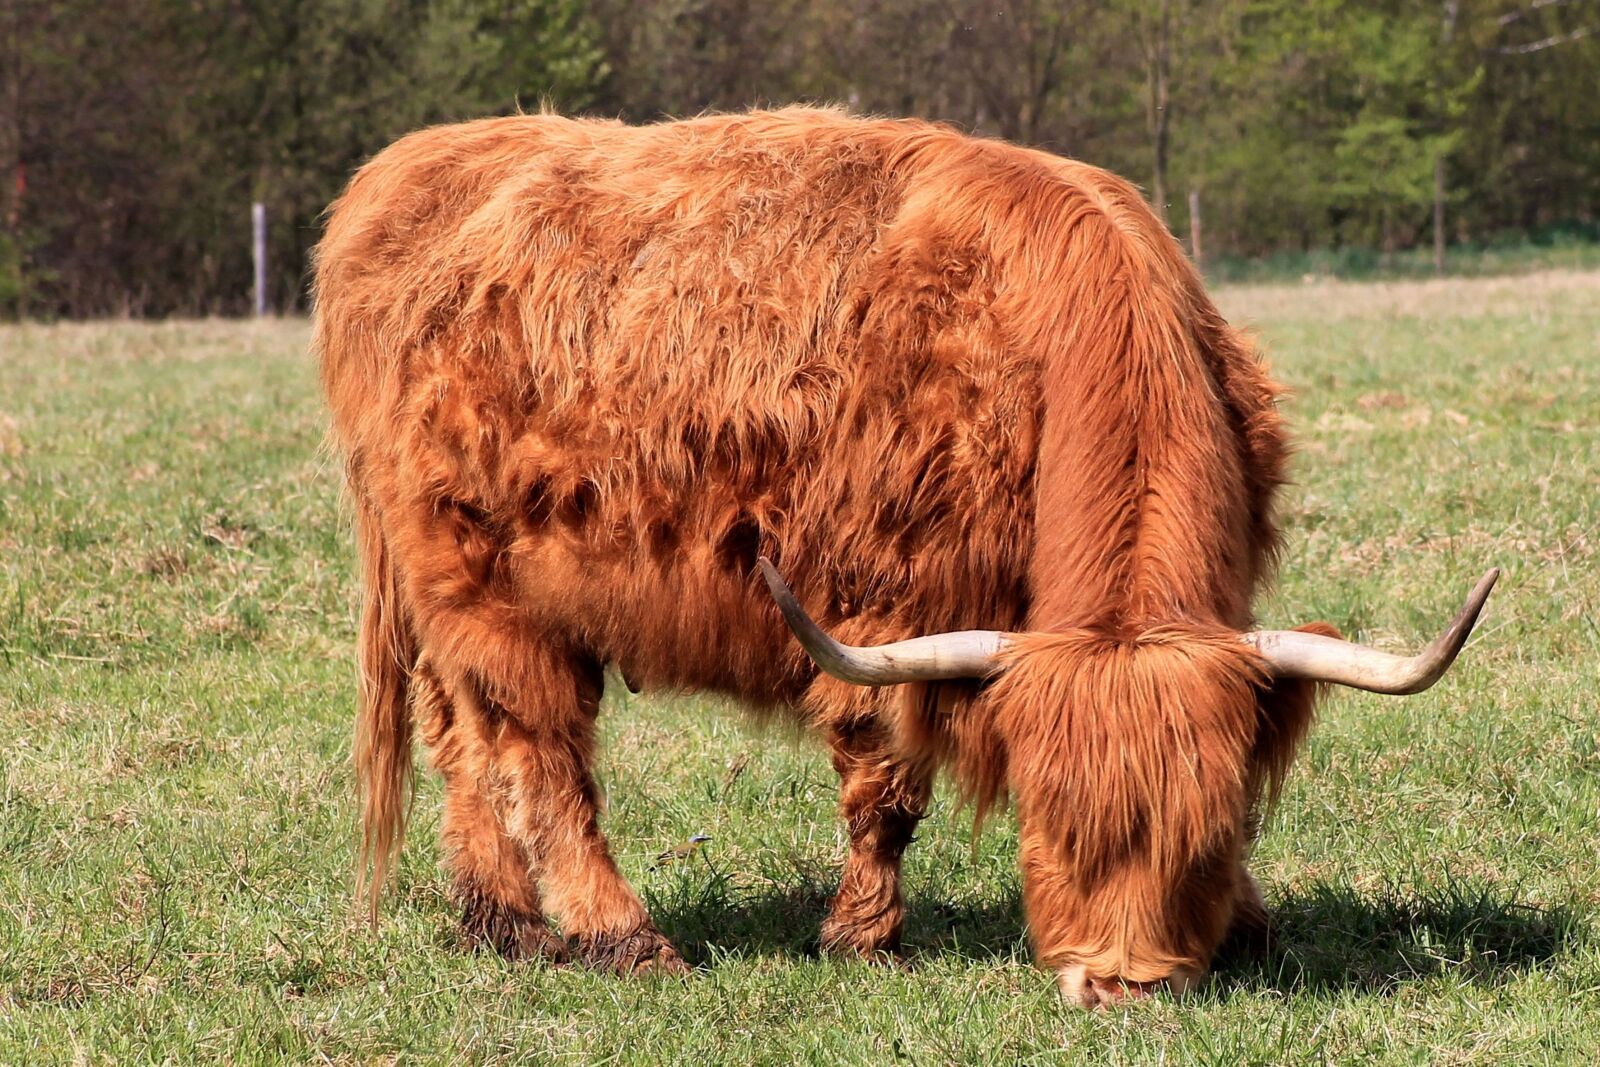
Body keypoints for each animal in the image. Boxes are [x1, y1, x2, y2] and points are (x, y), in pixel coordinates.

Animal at [312, 107, 1495, 1006]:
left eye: (1203, 833)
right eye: (1050, 821)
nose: (1120, 985)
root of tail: (413, 167)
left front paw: (1247, 918)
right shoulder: (881, 602)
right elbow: (885, 784)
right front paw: (864, 938)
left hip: (455, 600)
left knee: (465, 739)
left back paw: (500, 922)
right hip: (488, 586)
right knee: (540, 756)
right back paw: (620, 935)